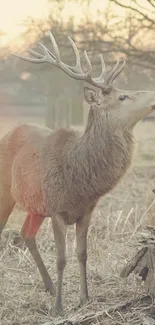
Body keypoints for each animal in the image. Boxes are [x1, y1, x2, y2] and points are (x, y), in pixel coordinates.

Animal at [0, 31, 155, 312]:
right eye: (122, 97)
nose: (153, 97)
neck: (78, 180)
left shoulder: (86, 210)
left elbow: (83, 254)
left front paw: (84, 298)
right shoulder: (56, 209)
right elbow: (62, 258)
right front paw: (59, 307)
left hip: (36, 206)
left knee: (26, 233)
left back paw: (49, 287)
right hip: (6, 191)